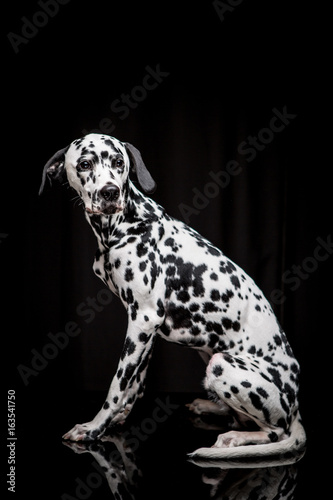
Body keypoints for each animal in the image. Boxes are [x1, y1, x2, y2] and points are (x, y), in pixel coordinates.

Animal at [39, 134, 306, 460]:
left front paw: (94, 427)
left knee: (272, 431)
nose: (110, 192)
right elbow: (135, 383)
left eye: (118, 162)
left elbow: (118, 385)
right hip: (207, 352)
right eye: (85, 164)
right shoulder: (145, 327)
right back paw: (210, 406)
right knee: (238, 416)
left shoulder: (143, 320)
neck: (124, 226)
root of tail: (294, 407)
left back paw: (235, 438)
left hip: (222, 364)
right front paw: (118, 418)